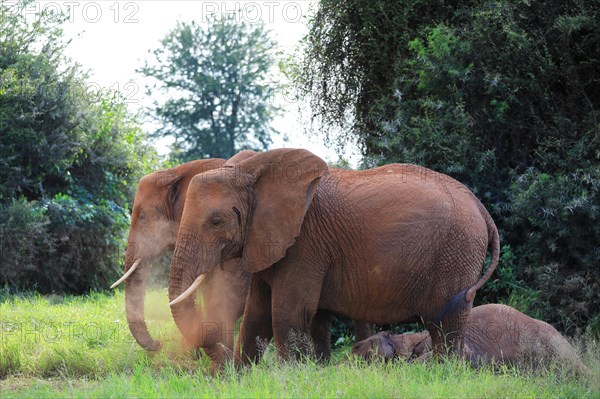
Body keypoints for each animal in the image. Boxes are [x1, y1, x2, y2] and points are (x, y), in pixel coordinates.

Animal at [166, 148, 500, 366]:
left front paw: (288, 377)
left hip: (457, 253)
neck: (250, 169)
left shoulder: (305, 243)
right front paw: (242, 377)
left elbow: (287, 312)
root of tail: (479, 206)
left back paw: (444, 373)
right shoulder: (266, 239)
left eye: (216, 221)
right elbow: (256, 315)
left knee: (447, 322)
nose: (219, 358)